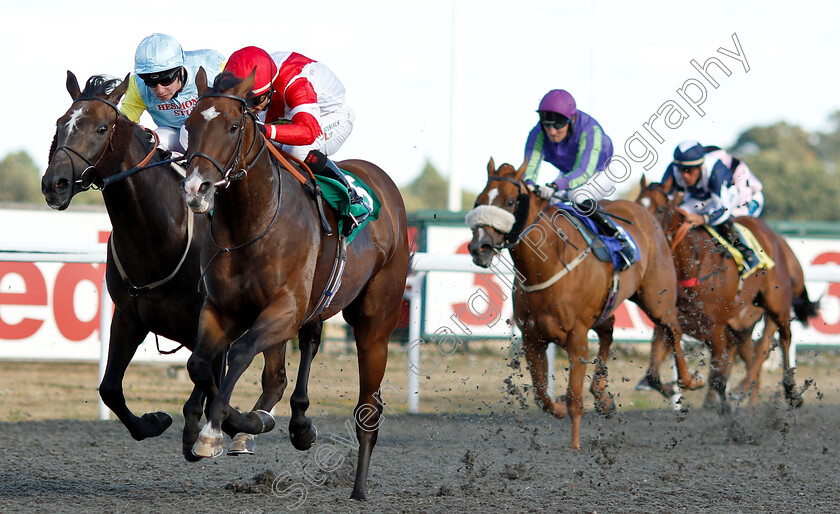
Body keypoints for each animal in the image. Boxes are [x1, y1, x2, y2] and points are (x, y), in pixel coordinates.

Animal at [41, 70, 290, 454]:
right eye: (60, 123)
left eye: (101, 128)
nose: (55, 183)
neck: (158, 237)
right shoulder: (129, 316)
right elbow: (110, 389)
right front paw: (154, 420)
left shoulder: (213, 318)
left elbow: (210, 385)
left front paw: (217, 428)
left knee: (275, 377)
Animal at [181, 69, 410, 500]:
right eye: (189, 125)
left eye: (233, 126)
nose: (195, 189)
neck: (251, 222)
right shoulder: (220, 308)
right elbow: (200, 362)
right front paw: (223, 424)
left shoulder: (284, 308)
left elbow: (240, 353)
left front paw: (219, 428)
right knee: (305, 348)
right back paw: (298, 425)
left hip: (376, 323)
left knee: (368, 409)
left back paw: (359, 488)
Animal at [466, 160, 704, 448]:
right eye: (479, 201)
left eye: (511, 201)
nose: (480, 247)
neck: (545, 266)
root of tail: (644, 212)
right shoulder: (532, 337)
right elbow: (541, 394)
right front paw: (559, 408)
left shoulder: (576, 336)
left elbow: (574, 398)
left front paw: (576, 445)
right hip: (607, 307)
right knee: (608, 332)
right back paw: (602, 395)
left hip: (657, 298)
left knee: (674, 329)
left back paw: (688, 380)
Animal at [636, 179, 812, 408]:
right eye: (637, 203)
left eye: (660, 209)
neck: (691, 266)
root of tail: (780, 243)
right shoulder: (670, 322)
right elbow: (653, 375)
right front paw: (678, 387)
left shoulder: (716, 328)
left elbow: (719, 379)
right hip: (742, 325)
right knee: (752, 353)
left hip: (777, 304)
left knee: (778, 341)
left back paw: (784, 391)